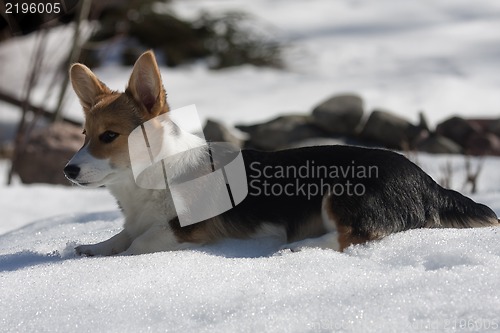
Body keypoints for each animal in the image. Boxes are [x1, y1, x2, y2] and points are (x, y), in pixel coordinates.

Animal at [64, 50, 498, 255]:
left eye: (109, 136)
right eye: (84, 134)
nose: (68, 171)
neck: (152, 177)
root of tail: (429, 183)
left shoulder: (184, 229)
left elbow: (139, 243)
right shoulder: (136, 221)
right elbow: (120, 236)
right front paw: (91, 248)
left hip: (342, 194)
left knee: (352, 237)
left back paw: (298, 247)